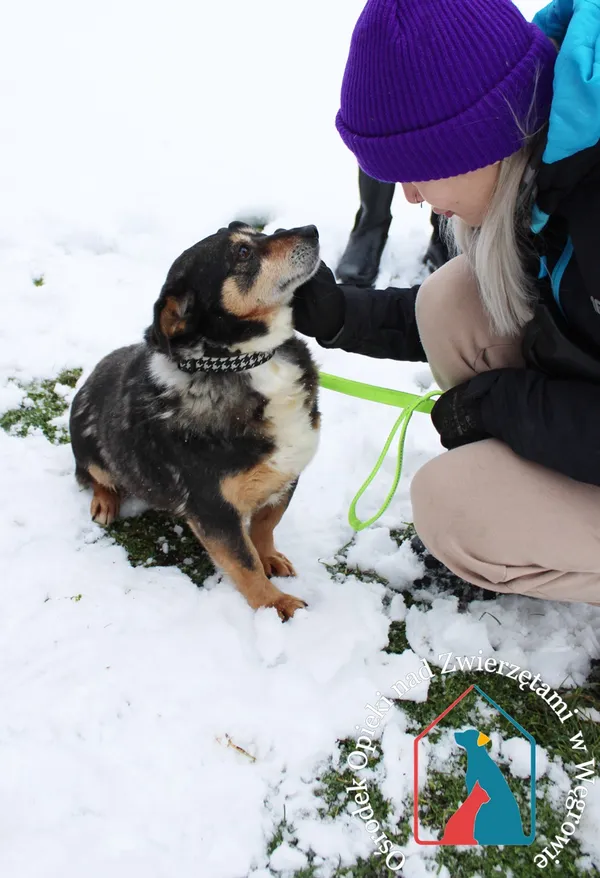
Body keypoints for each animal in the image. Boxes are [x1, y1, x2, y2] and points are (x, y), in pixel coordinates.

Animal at [69, 222, 324, 620]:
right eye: (242, 253)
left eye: (256, 231)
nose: (312, 229)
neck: (244, 362)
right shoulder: (213, 509)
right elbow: (244, 563)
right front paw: (276, 605)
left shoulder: (287, 474)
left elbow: (266, 527)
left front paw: (270, 558)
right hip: (93, 452)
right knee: (94, 477)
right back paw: (105, 502)